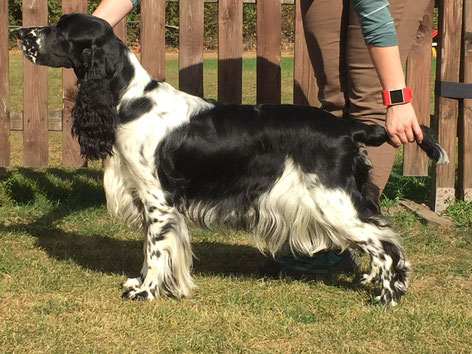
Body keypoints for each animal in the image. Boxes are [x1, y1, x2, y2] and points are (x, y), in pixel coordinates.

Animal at [16, 13, 448, 306]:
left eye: (60, 30)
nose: (19, 32)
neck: (129, 99)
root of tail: (348, 128)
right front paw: (142, 283)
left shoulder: (158, 200)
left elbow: (154, 249)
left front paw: (146, 291)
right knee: (382, 236)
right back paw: (374, 282)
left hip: (332, 201)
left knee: (386, 245)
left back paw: (387, 296)